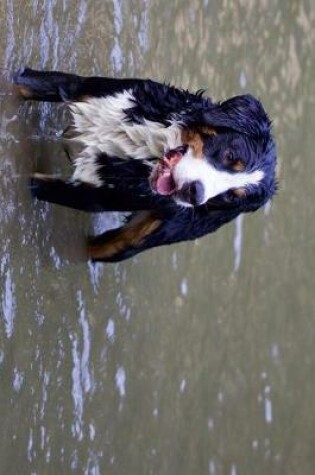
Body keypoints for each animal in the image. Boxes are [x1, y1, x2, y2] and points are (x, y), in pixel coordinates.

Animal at [13, 66, 278, 262]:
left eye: (229, 197)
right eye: (230, 156)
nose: (195, 193)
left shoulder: (95, 196)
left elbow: (41, 186)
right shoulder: (91, 91)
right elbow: (27, 84)